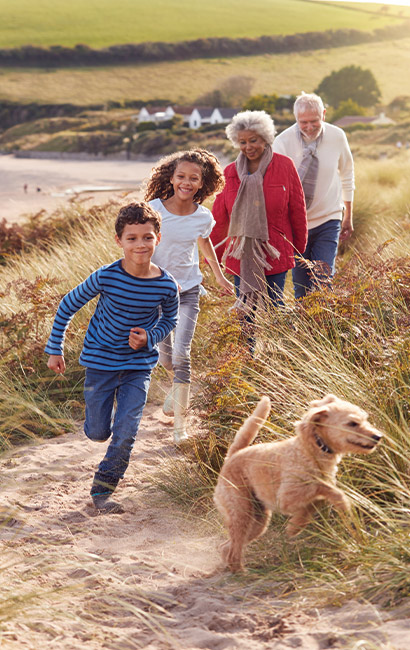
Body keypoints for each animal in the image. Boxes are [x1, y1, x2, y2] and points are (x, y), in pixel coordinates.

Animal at [213, 392, 382, 568]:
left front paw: (296, 525)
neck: (313, 449)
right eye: (352, 423)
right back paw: (240, 571)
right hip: (241, 513)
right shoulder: (287, 496)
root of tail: (232, 456)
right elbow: (323, 489)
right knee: (233, 551)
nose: (378, 436)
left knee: (227, 547)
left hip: (258, 521)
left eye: (365, 419)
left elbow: (316, 501)